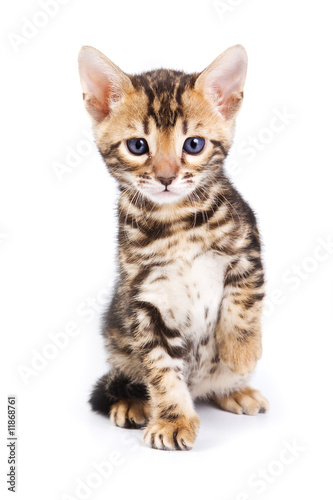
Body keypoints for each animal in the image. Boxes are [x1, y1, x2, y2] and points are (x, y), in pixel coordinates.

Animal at [79, 45, 268, 452]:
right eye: (138, 146)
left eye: (193, 144)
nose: (166, 177)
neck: (176, 224)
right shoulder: (145, 298)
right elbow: (162, 369)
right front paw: (173, 419)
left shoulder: (248, 248)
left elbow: (244, 300)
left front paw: (242, 351)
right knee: (125, 378)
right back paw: (132, 403)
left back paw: (235, 390)